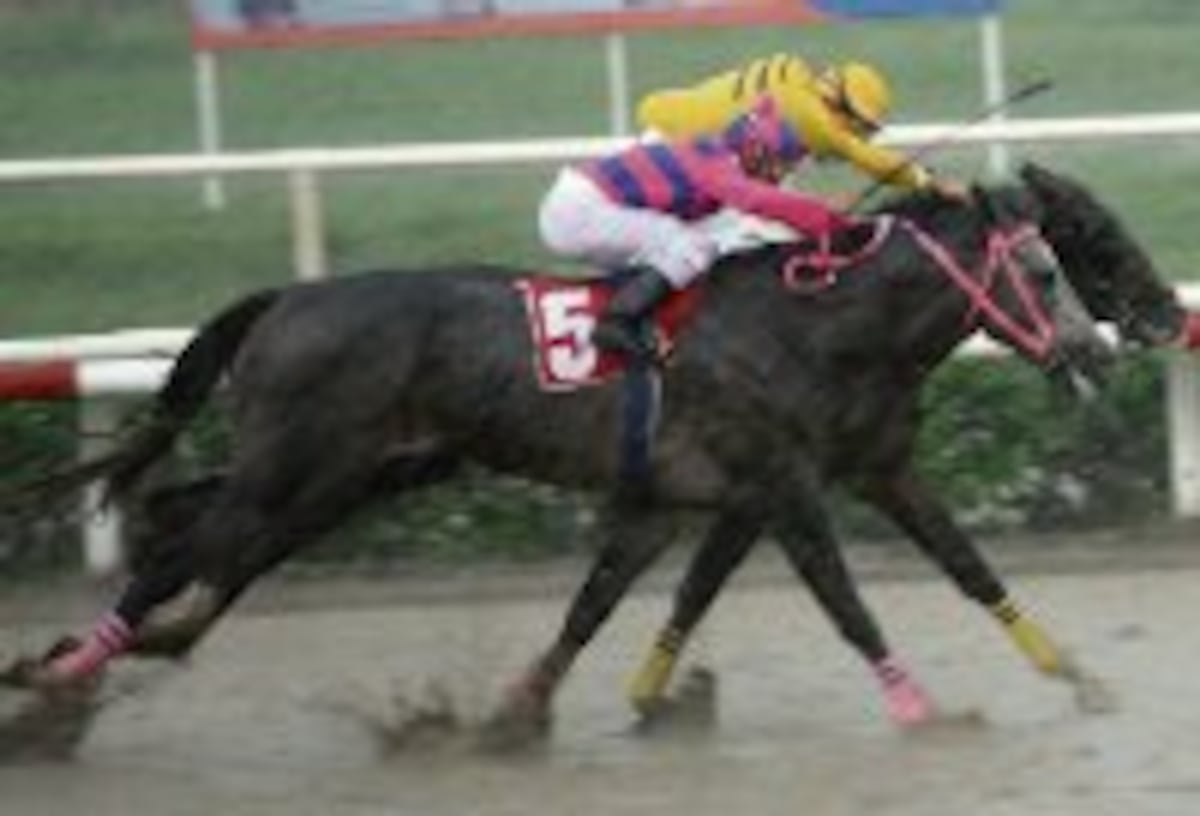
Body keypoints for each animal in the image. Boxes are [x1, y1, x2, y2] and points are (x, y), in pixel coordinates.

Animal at [0, 171, 1112, 750]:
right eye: (1047, 267)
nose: (1099, 353)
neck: (817, 326)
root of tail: (287, 297)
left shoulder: (811, 478)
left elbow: (965, 566)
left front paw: (1079, 675)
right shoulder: (781, 484)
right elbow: (846, 602)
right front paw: (922, 708)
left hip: (349, 477)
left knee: (193, 531)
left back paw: (98, 663)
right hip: (299, 468)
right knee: (182, 549)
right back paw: (64, 680)